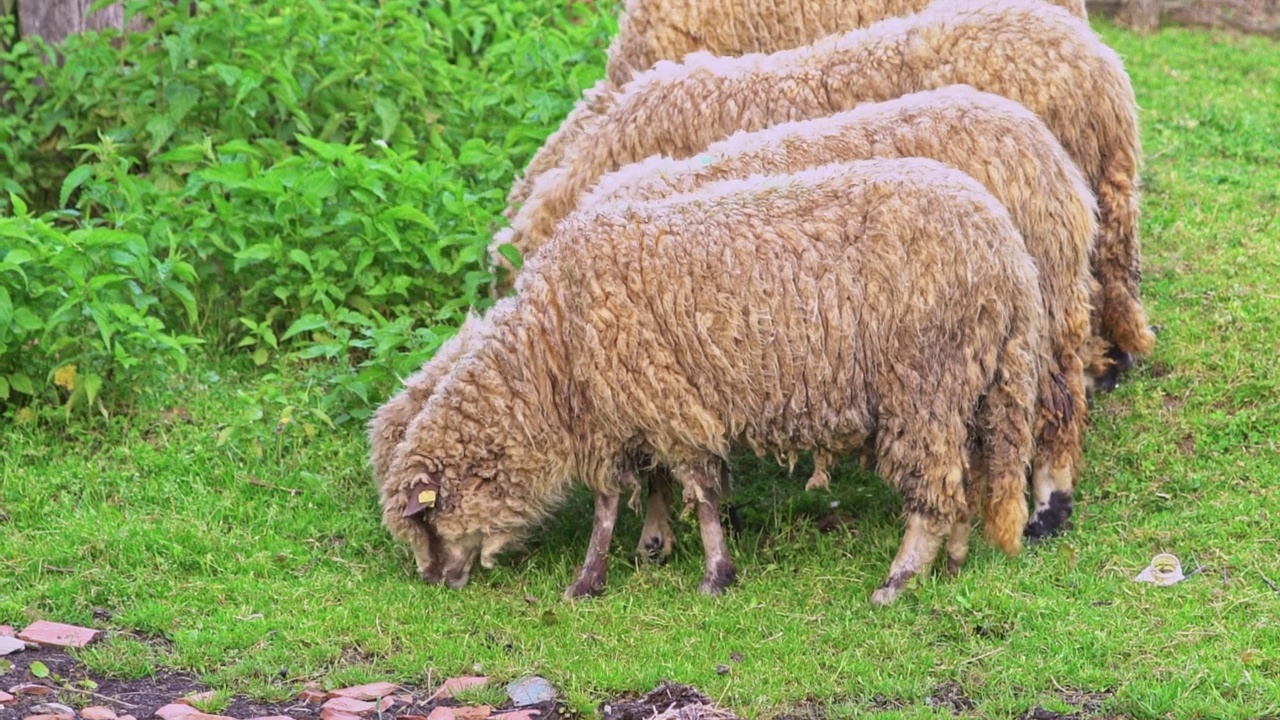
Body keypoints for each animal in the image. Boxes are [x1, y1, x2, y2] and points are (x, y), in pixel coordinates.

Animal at [378, 158, 1039, 604]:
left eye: (426, 522)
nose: (435, 581)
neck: (549, 349)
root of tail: (1010, 252)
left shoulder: (663, 404)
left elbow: (691, 495)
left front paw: (712, 575)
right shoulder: (620, 415)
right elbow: (618, 501)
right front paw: (598, 576)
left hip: (923, 381)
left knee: (934, 485)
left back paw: (898, 579)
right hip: (969, 381)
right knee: (965, 476)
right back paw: (952, 563)